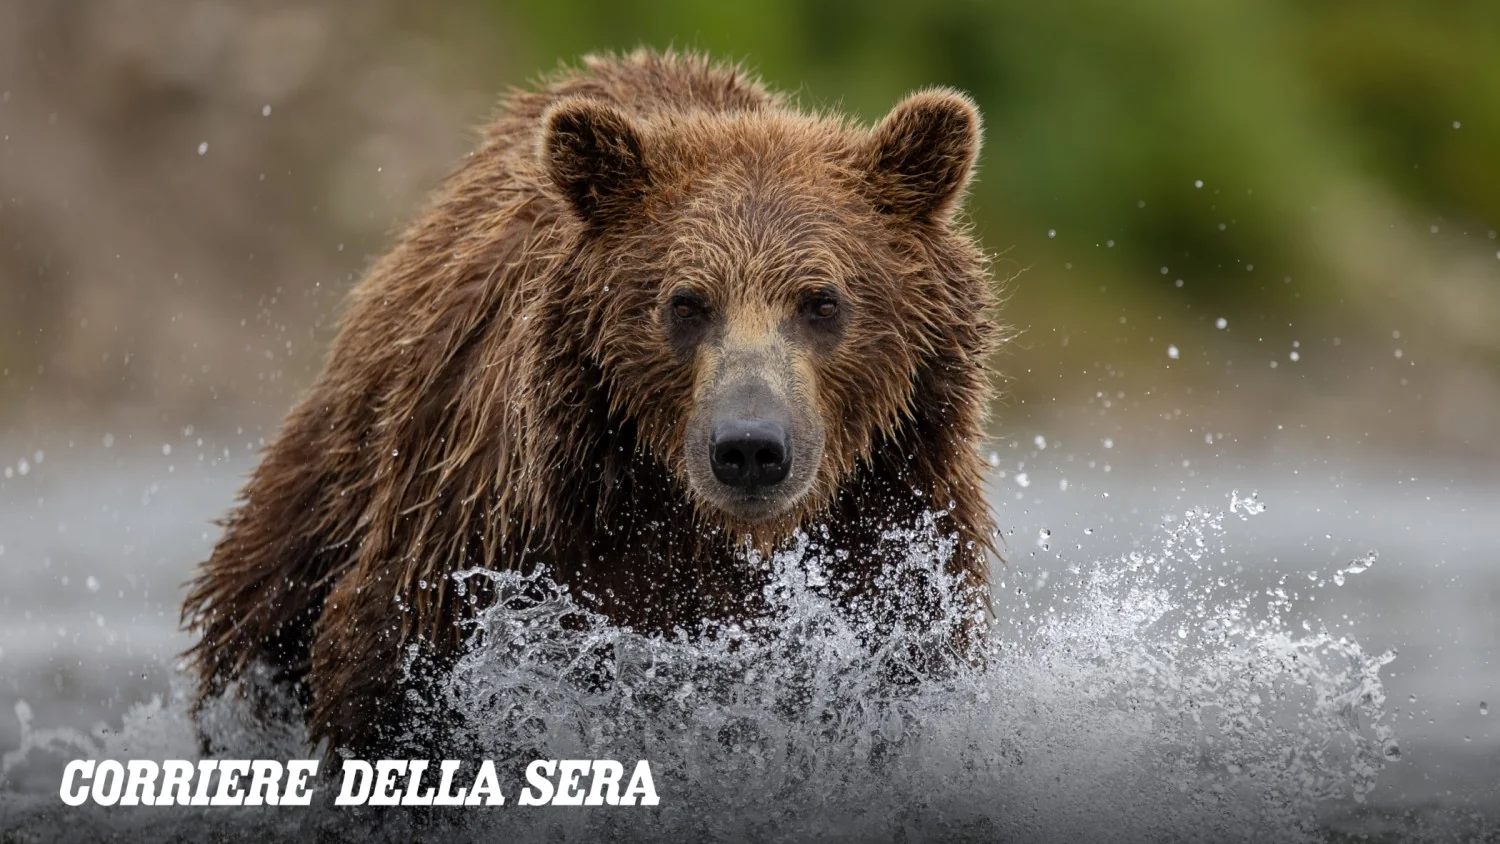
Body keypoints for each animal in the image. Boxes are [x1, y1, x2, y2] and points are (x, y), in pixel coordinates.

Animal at [182, 49, 1000, 756]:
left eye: (823, 302)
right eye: (685, 302)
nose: (749, 448)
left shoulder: (895, 533)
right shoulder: (491, 534)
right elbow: (385, 671)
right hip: (329, 492)